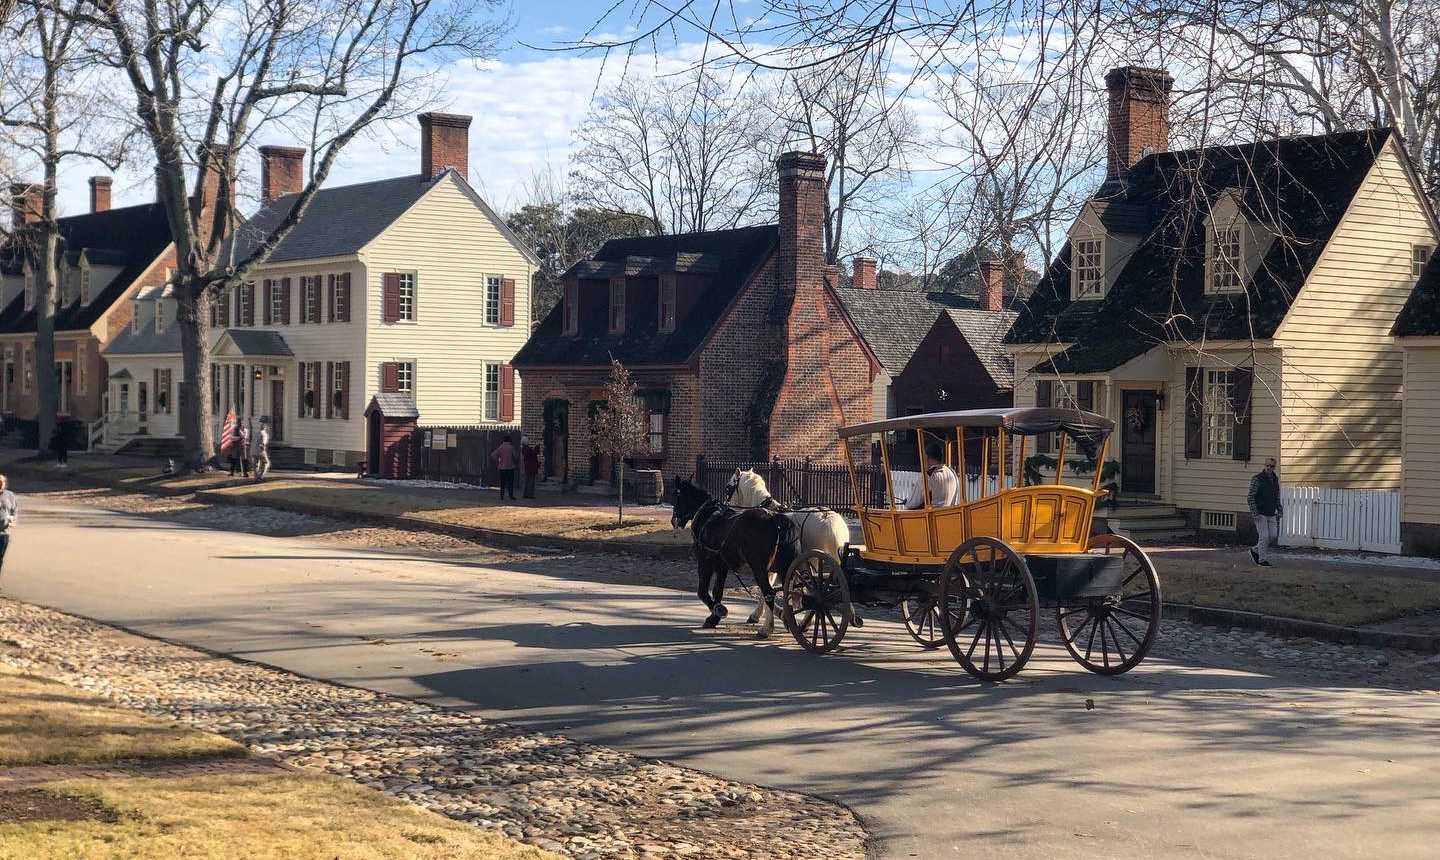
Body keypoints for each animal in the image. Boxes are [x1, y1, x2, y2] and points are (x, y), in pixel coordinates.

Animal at [671, 472, 794, 633]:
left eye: (676, 495)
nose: (673, 521)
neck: (708, 516)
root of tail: (774, 519)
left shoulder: (705, 561)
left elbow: (702, 591)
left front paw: (718, 610)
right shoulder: (722, 565)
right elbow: (717, 590)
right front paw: (713, 618)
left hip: (759, 568)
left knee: (769, 593)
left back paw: (767, 628)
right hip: (782, 568)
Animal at [725, 469, 846, 625]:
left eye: (728, 487)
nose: (727, 507)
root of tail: (827, 517)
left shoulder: (765, 566)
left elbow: (766, 589)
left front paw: (764, 615)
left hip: (813, 563)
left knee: (816, 592)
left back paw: (806, 621)